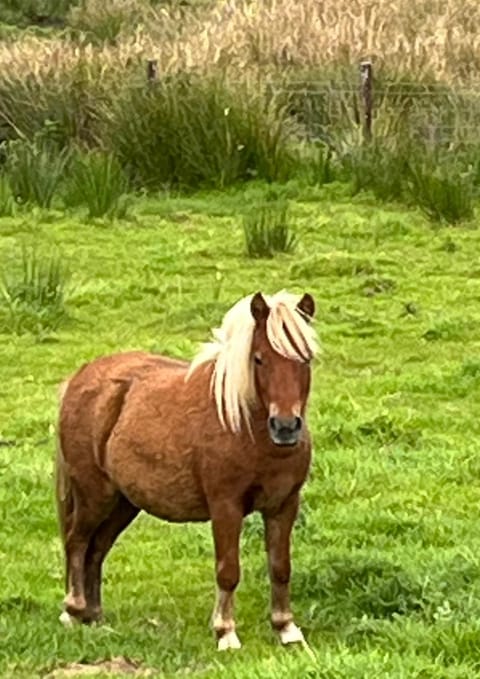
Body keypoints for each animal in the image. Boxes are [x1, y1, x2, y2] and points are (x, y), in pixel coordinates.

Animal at [55, 290, 318, 652]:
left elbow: (280, 567)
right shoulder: (225, 506)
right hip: (95, 496)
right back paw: (73, 611)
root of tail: (80, 379)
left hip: (124, 503)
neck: (245, 427)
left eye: (305, 359)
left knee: (96, 550)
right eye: (259, 359)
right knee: (77, 542)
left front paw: (286, 629)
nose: (286, 426)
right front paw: (225, 632)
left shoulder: (284, 505)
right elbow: (228, 569)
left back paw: (94, 618)